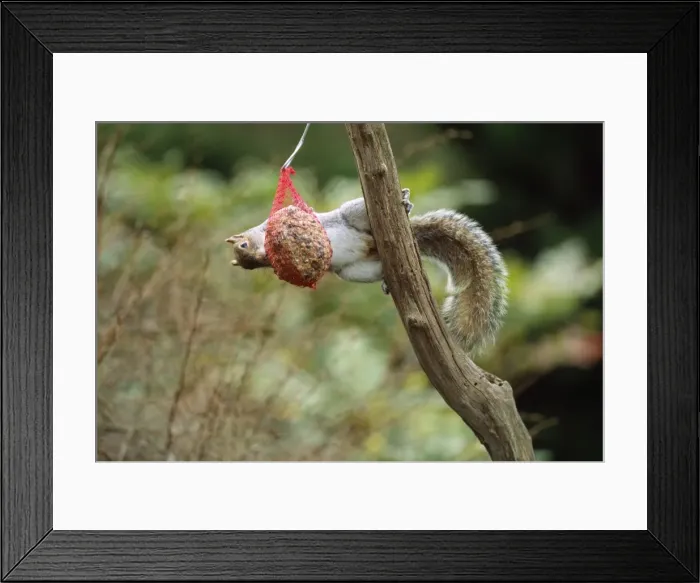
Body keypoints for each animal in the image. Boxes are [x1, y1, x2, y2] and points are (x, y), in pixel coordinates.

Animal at [226, 188, 508, 356]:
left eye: (244, 245)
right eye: (249, 265)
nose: (263, 258)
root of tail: (372, 245)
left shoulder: (282, 216)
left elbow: (291, 213)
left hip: (354, 214)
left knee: (362, 210)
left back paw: (404, 203)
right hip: (354, 270)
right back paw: (386, 280)